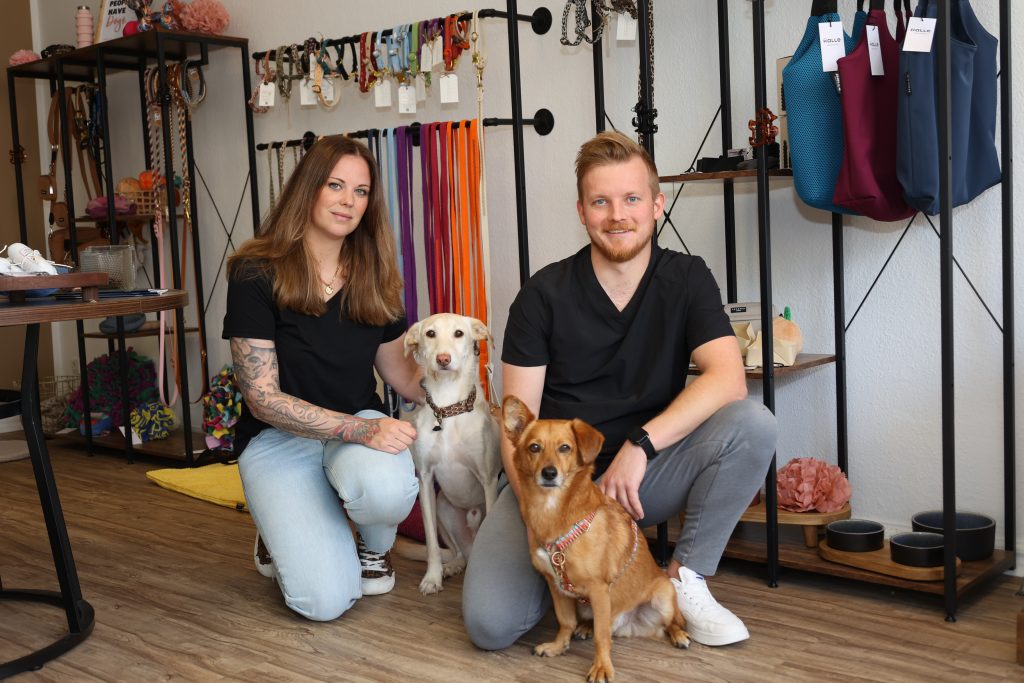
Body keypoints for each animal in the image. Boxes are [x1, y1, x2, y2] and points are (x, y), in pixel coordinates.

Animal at [403, 313, 502, 595]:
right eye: (430, 334)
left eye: (459, 333)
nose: (443, 359)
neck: (447, 409)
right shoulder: (425, 481)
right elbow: (432, 545)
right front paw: (432, 577)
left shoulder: (488, 480)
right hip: (443, 509)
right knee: (461, 554)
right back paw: (452, 567)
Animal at [502, 396, 689, 683]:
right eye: (534, 448)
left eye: (565, 448)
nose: (549, 473)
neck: (553, 512)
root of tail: (630, 621)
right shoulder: (556, 586)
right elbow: (565, 621)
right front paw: (558, 646)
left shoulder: (599, 588)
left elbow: (602, 637)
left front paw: (601, 667)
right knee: (597, 623)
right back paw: (585, 628)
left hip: (663, 596)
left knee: (669, 622)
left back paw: (679, 634)